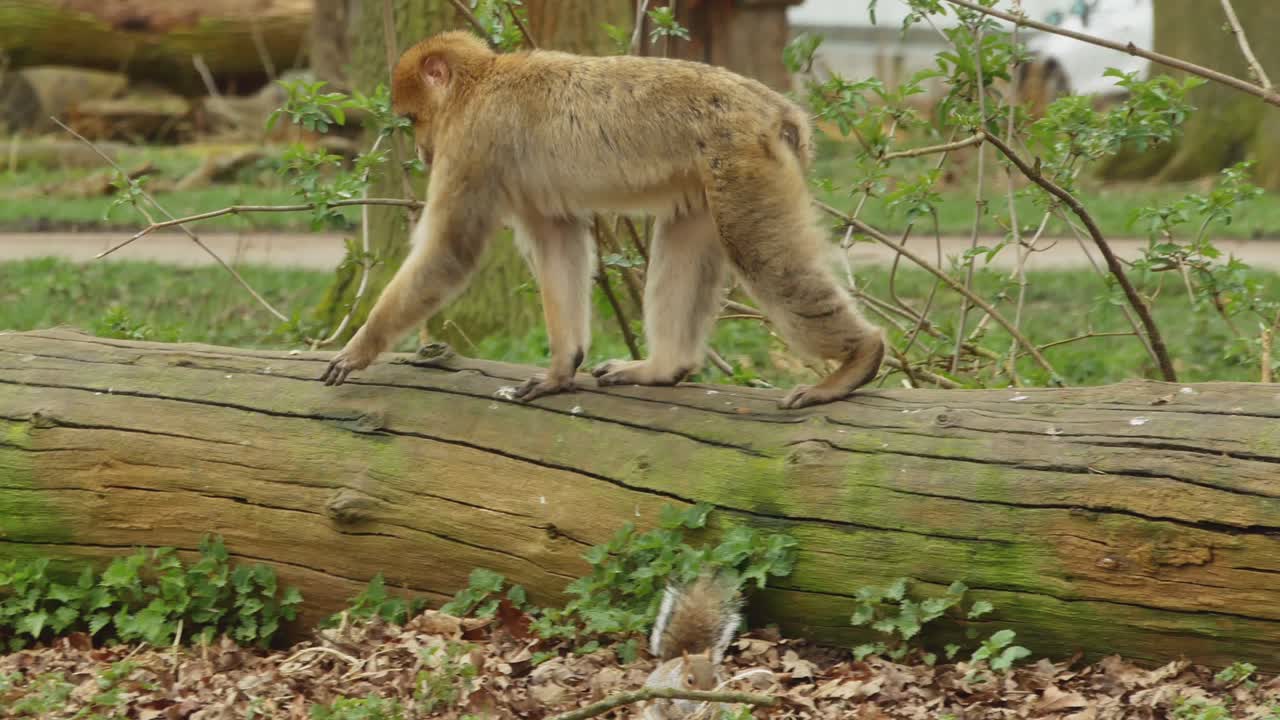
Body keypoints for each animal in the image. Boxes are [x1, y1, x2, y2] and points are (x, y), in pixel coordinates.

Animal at [319, 30, 885, 409]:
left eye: (414, 118)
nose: (422, 150)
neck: (479, 83)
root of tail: (775, 109)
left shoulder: (470, 144)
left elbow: (449, 252)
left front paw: (361, 347)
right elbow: (558, 242)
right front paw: (559, 368)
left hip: (745, 161)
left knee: (760, 255)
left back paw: (858, 359)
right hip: (714, 172)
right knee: (689, 233)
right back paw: (664, 368)